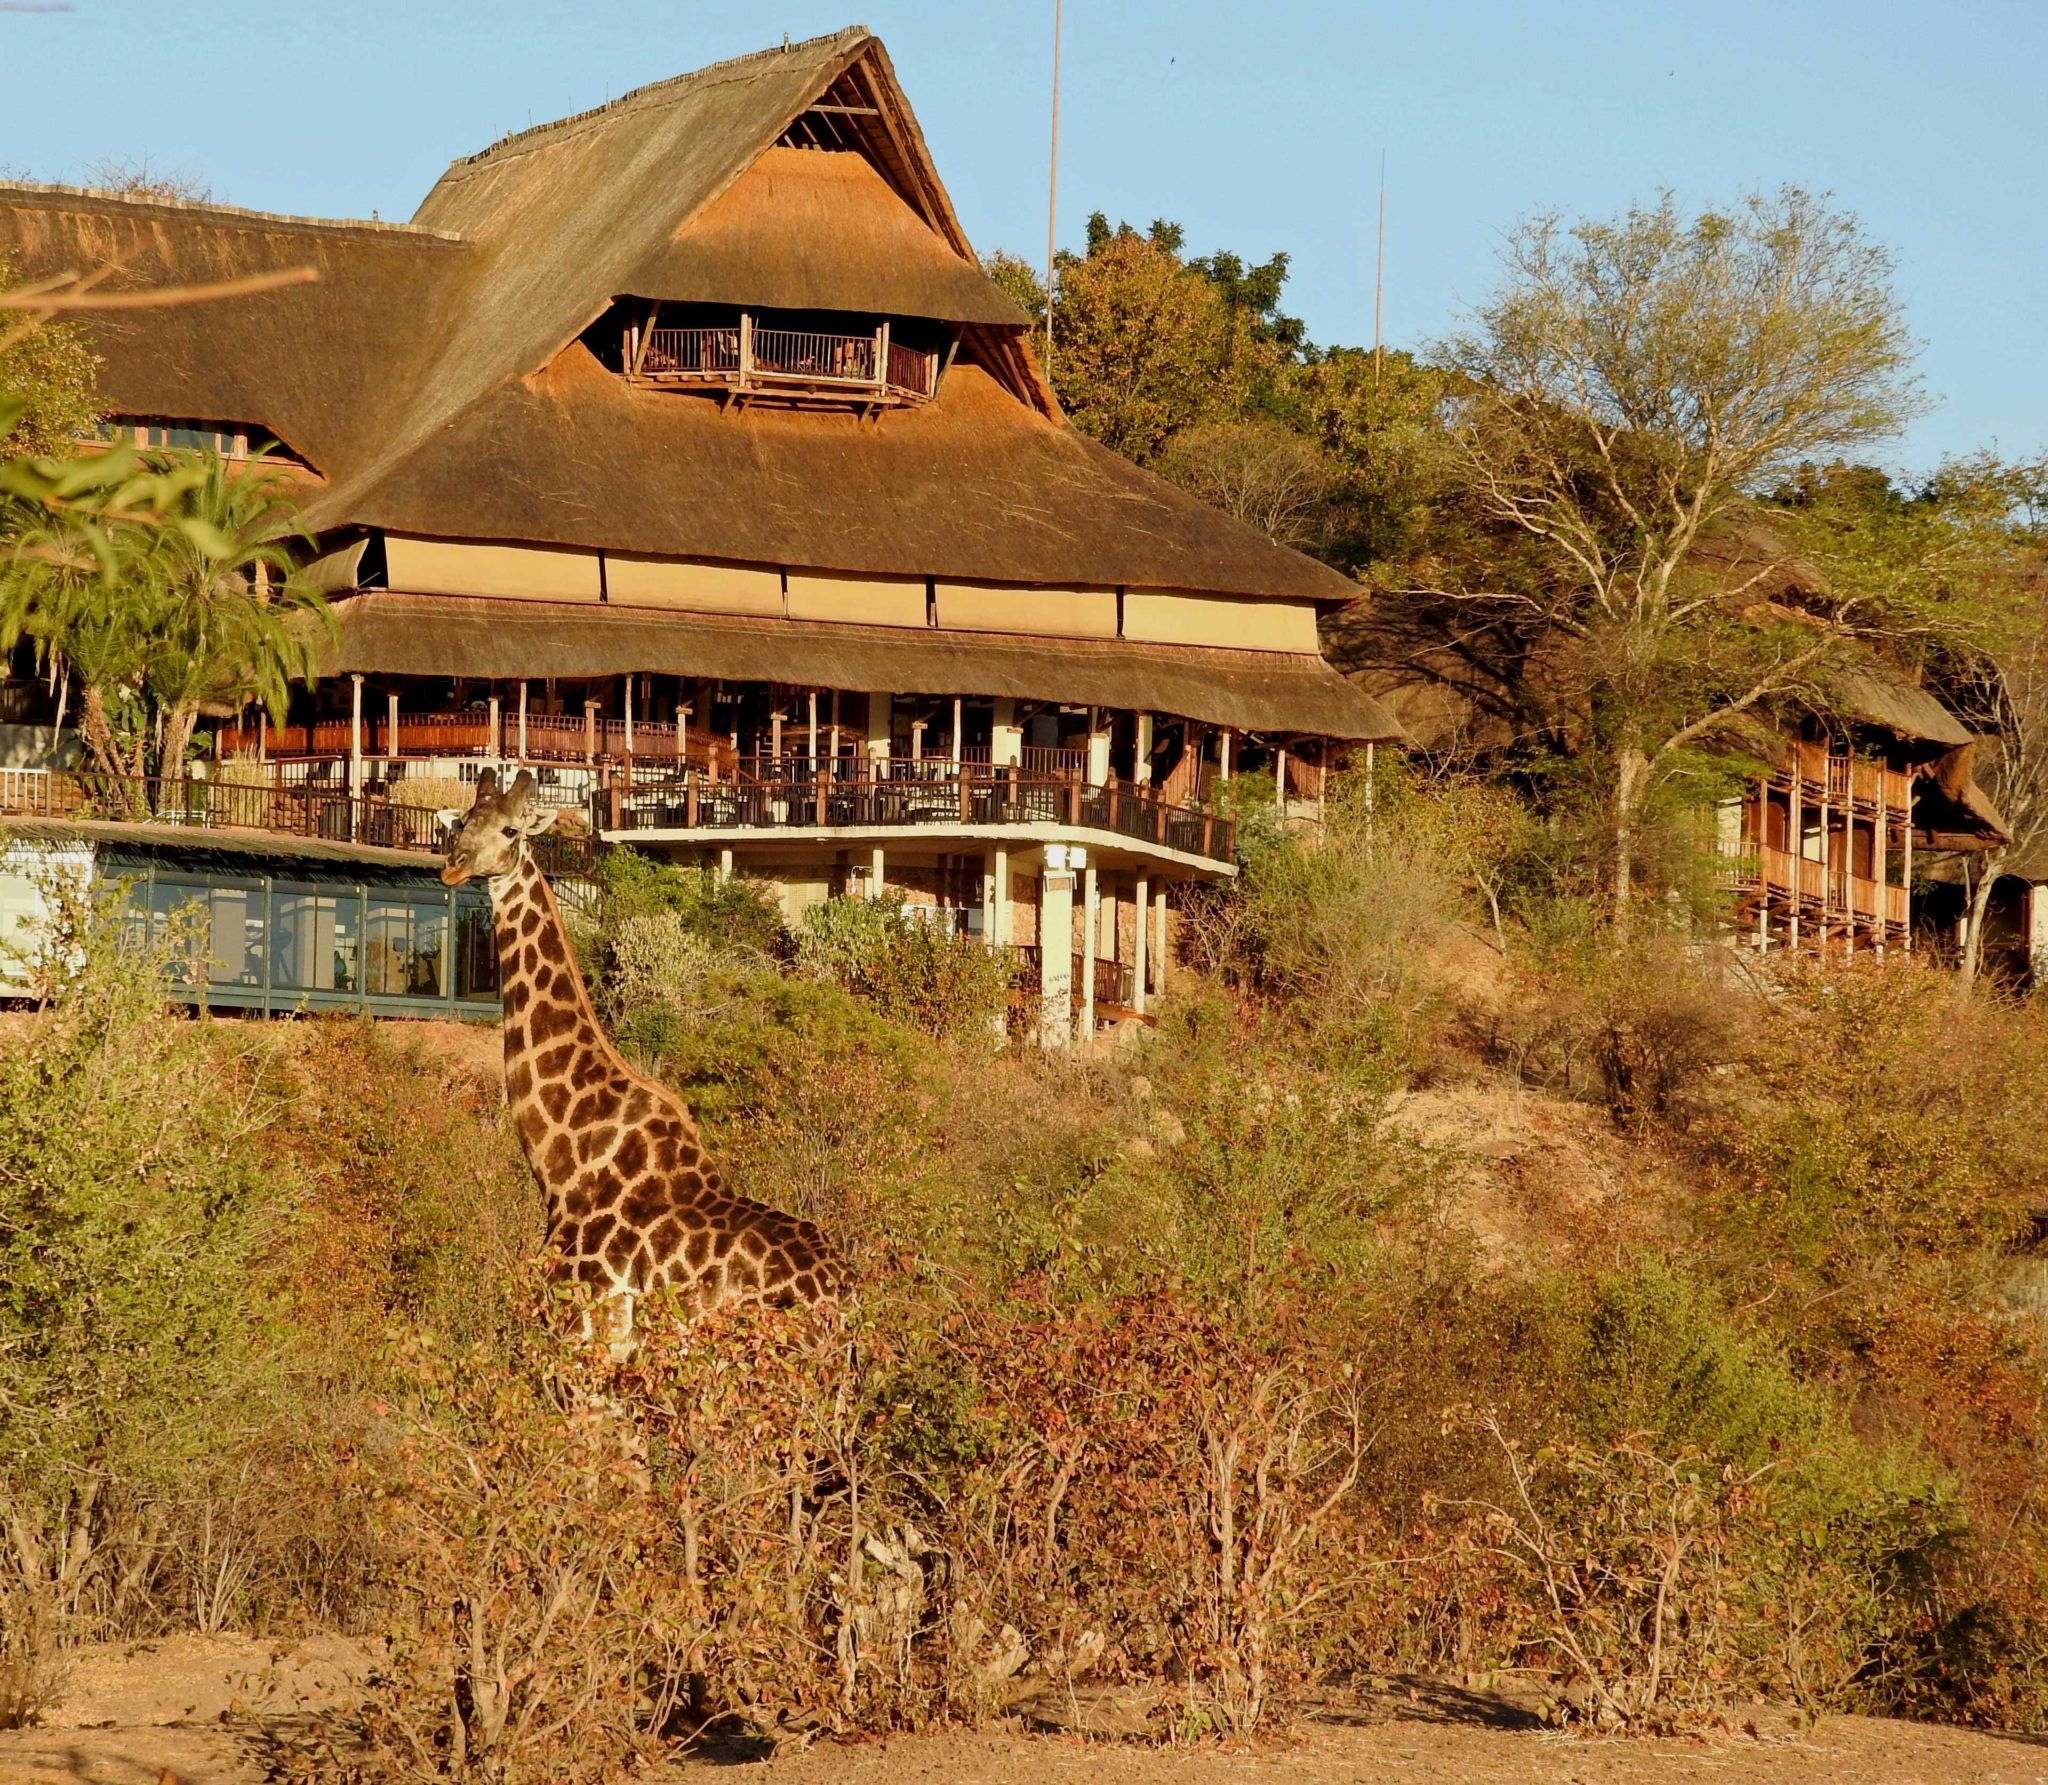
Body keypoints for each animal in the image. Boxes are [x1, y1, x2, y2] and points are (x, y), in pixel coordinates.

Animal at [439, 768, 843, 1347]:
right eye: (465, 822)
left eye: (512, 830)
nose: (453, 865)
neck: (564, 1166)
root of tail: (842, 1296)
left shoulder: (588, 1323)